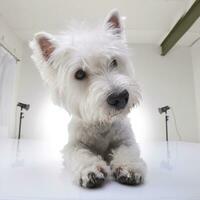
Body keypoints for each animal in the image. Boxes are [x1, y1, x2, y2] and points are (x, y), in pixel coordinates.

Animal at [30, 9, 145, 188]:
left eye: (114, 61)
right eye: (79, 74)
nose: (120, 97)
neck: (101, 123)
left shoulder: (126, 139)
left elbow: (127, 150)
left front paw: (128, 168)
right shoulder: (73, 145)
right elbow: (81, 154)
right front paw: (91, 170)